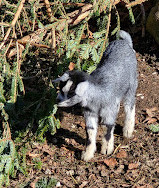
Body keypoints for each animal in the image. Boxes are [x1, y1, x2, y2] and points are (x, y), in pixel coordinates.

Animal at [53, 30, 138, 161]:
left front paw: (106, 150)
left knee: (130, 106)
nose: (57, 100)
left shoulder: (109, 110)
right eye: (61, 90)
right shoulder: (90, 113)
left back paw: (128, 130)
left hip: (131, 85)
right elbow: (90, 131)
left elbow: (107, 128)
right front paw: (87, 154)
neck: (96, 96)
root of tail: (124, 42)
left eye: (72, 93)